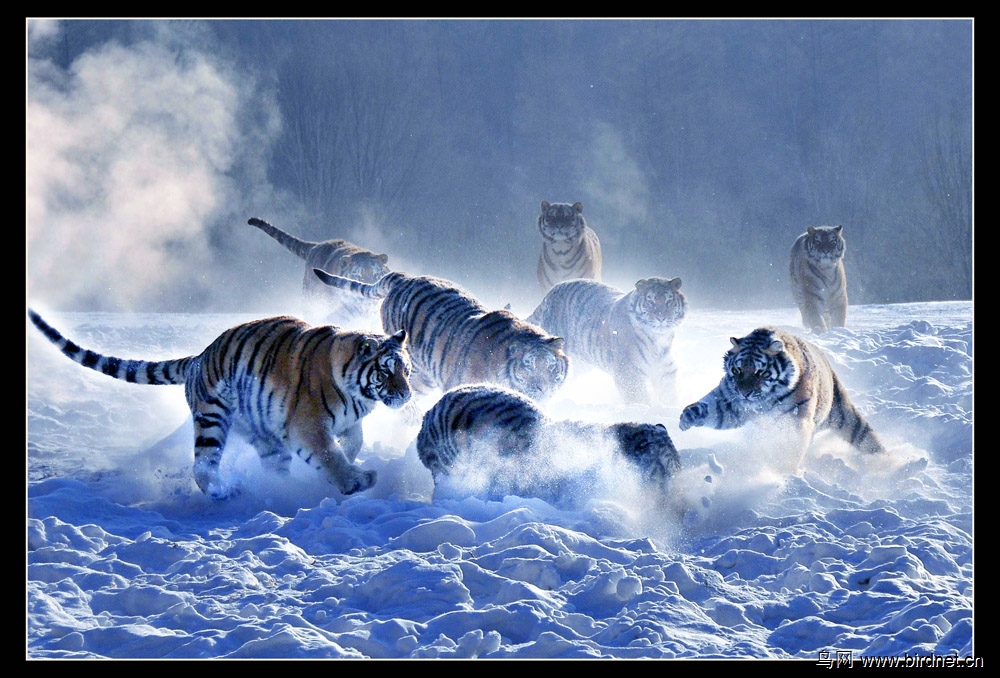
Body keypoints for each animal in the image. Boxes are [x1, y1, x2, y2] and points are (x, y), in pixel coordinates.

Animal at [28, 309, 411, 499]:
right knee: (203, 465)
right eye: (385, 371)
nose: (407, 394)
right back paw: (223, 492)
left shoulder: (347, 421)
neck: (357, 394)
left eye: (406, 370)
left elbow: (352, 442)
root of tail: (199, 357)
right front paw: (356, 481)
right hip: (212, 417)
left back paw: (280, 489)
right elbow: (330, 455)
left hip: (262, 432)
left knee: (273, 463)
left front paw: (353, 460)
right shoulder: (308, 425)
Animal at [527, 277, 687, 405]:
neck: (659, 340)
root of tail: (551, 292)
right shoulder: (629, 373)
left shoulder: (666, 371)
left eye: (669, 301)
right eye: (650, 301)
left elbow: (670, 397)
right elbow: (639, 399)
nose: (661, 317)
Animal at [678, 326, 886, 469]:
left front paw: (784, 474)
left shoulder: (795, 420)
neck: (762, 402)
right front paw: (686, 418)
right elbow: (710, 409)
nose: (744, 393)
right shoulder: (729, 402)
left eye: (760, 373)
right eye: (737, 370)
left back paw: (887, 465)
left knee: (867, 438)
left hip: (845, 416)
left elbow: (790, 448)